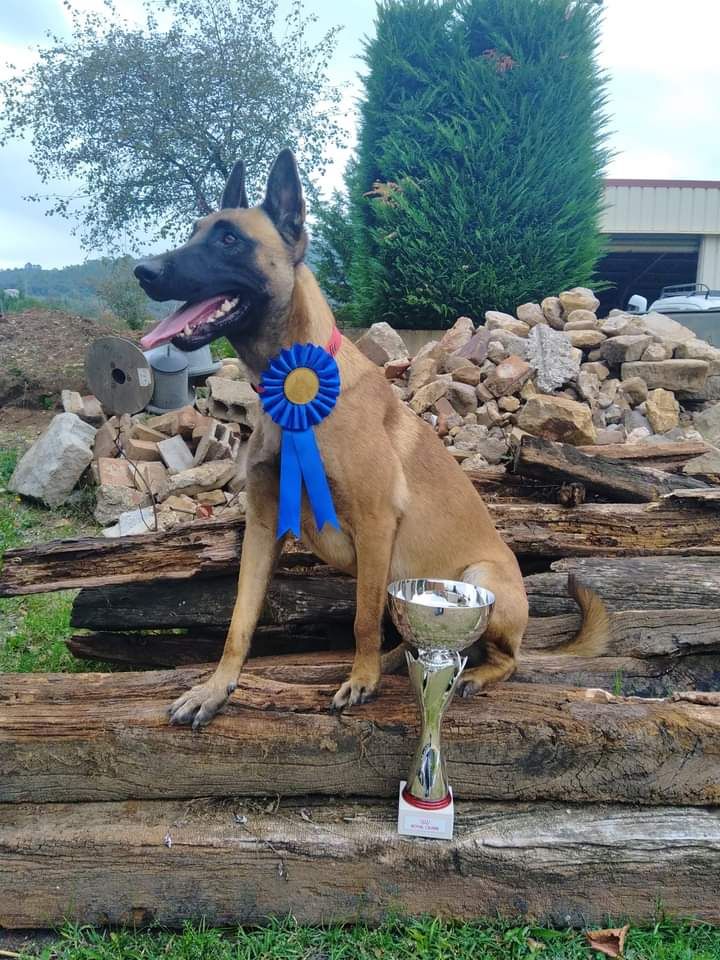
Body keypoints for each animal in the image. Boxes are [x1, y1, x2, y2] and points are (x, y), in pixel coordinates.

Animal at [135, 148, 600, 728]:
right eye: (195, 232)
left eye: (228, 239)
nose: (144, 271)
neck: (295, 385)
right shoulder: (264, 527)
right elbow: (239, 621)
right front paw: (216, 689)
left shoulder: (376, 526)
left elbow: (361, 616)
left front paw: (362, 679)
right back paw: (402, 657)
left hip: (482, 581)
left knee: (506, 659)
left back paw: (466, 673)